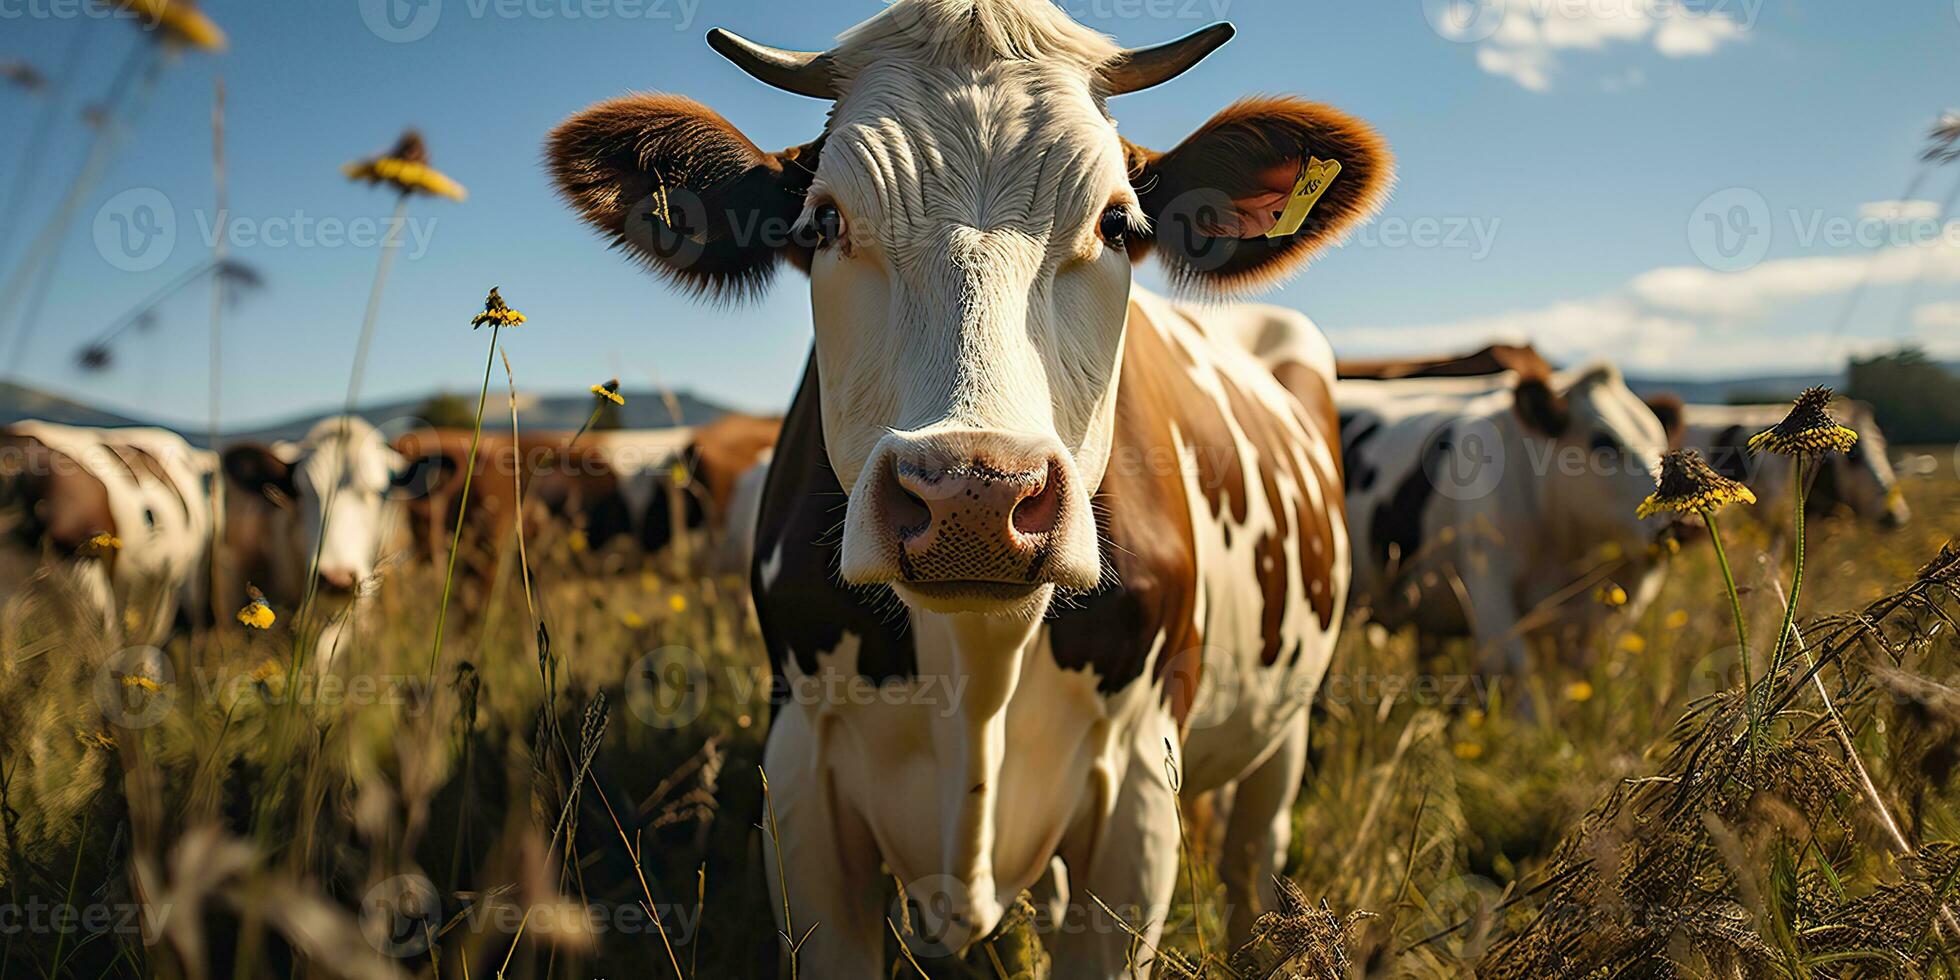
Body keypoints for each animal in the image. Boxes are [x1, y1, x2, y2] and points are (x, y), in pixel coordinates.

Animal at [544, 1, 1387, 972]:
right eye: (822, 224)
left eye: (1119, 224)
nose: (974, 496)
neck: (978, 668)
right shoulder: (801, 783)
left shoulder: (1139, 794)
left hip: (1285, 727)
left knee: (1257, 854)